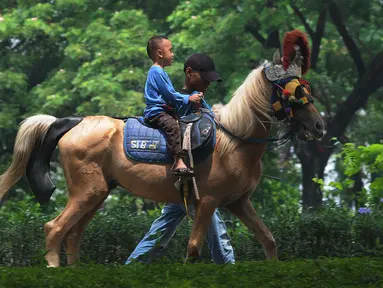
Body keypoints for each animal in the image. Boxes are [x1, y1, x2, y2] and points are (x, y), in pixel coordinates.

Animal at [0, 30, 326, 266]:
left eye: (305, 86)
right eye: (291, 90)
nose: (319, 126)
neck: (234, 142)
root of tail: (75, 122)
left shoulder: (238, 202)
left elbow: (268, 240)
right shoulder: (208, 202)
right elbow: (193, 249)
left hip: (98, 192)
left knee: (73, 236)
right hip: (87, 191)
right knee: (54, 229)